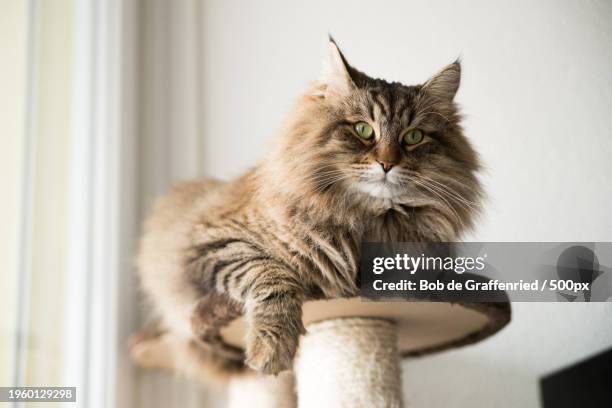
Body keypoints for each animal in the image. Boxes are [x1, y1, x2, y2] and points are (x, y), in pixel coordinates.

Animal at [130, 37, 482, 380]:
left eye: (413, 136)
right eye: (363, 130)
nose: (387, 163)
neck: (364, 222)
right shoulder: (214, 241)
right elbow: (271, 276)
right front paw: (271, 351)